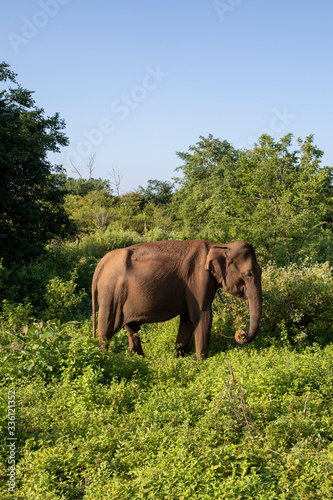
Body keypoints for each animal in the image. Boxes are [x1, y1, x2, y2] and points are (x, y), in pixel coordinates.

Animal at [91, 239, 262, 360]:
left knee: (132, 328)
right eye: (248, 274)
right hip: (110, 295)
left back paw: (139, 360)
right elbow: (203, 316)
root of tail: (100, 266)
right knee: (106, 332)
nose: (242, 333)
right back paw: (103, 357)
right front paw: (202, 362)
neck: (220, 246)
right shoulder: (198, 279)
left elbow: (187, 320)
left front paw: (180, 358)